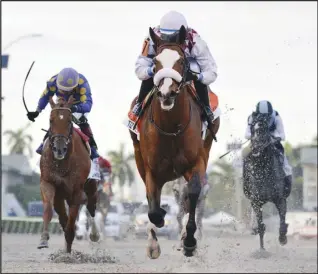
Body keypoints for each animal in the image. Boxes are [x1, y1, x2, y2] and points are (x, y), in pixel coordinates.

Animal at [37, 96, 100, 253]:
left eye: (69, 120)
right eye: (51, 120)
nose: (59, 149)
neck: (62, 163)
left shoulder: (76, 191)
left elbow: (71, 222)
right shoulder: (48, 182)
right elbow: (49, 209)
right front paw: (44, 239)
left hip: (91, 187)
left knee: (91, 208)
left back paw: (94, 234)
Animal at [128, 24, 220, 258]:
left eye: (182, 61)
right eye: (155, 62)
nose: (166, 93)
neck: (171, 128)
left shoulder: (195, 162)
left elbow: (193, 192)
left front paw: (189, 241)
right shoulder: (151, 168)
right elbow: (152, 207)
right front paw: (157, 229)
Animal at [242, 112, 292, 249]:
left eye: (264, 130)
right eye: (252, 128)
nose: (255, 150)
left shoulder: (280, 199)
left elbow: (282, 221)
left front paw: (282, 238)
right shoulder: (256, 201)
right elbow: (261, 227)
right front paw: (262, 249)